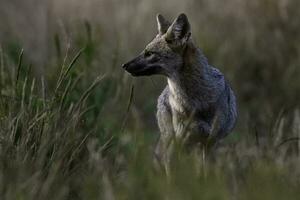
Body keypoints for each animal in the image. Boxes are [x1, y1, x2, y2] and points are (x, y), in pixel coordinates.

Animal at [122, 13, 237, 169]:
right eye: (144, 52)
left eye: (149, 53)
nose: (124, 65)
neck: (194, 102)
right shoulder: (181, 141)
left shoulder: (209, 143)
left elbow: (205, 171)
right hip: (174, 141)